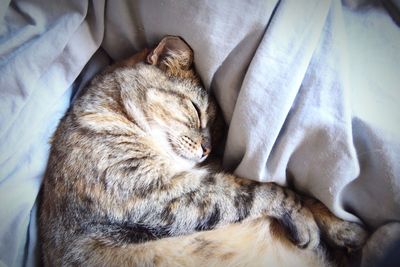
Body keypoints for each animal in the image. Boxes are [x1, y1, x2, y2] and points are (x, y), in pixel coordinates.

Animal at [39, 36, 368, 267]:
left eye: (220, 135)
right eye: (197, 111)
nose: (208, 150)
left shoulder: (203, 175)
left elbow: (274, 187)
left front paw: (342, 227)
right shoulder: (157, 191)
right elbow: (261, 190)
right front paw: (302, 218)